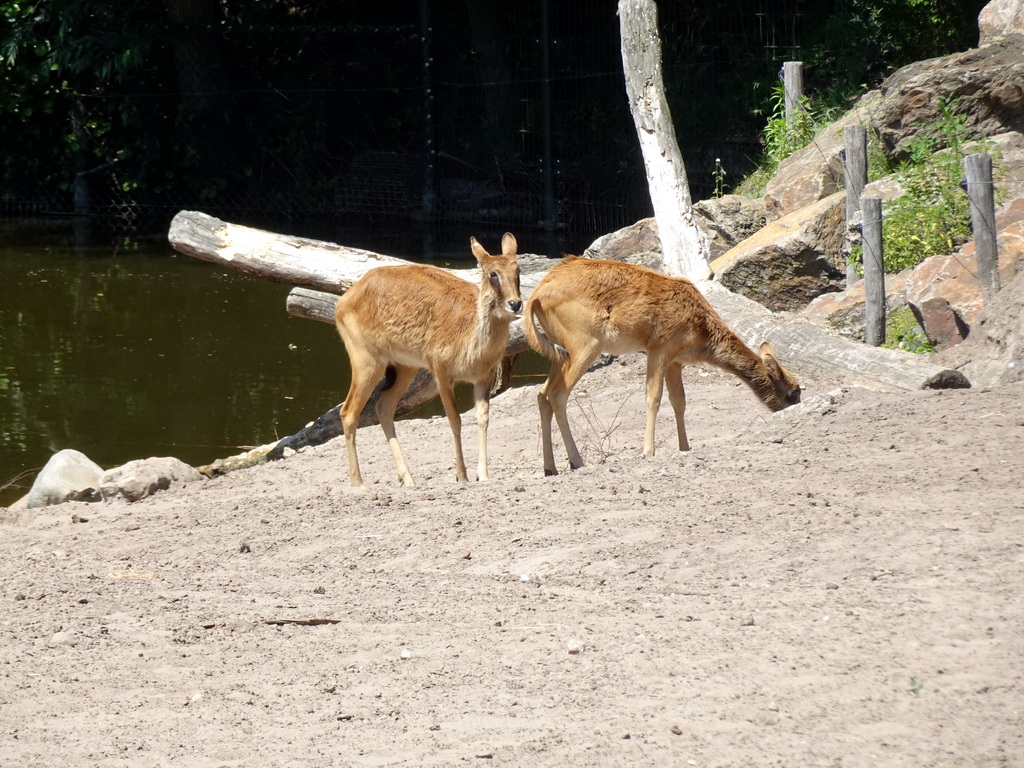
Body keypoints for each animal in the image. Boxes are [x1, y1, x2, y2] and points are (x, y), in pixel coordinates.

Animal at [335, 233, 524, 487]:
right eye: (493, 273)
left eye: (517, 270)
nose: (515, 303)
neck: (471, 344)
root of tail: (343, 302)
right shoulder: (441, 373)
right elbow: (455, 419)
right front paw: (461, 475)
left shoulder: (485, 376)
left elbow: (483, 418)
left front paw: (483, 475)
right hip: (366, 361)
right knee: (348, 412)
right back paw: (359, 483)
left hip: (405, 367)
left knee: (383, 407)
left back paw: (408, 479)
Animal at [524, 257, 802, 475]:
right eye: (793, 391)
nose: (794, 410)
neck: (701, 331)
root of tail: (536, 295)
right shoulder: (659, 349)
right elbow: (653, 398)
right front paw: (648, 451)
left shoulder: (674, 360)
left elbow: (679, 401)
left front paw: (685, 447)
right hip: (585, 346)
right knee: (557, 394)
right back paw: (577, 462)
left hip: (560, 352)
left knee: (541, 394)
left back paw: (550, 467)